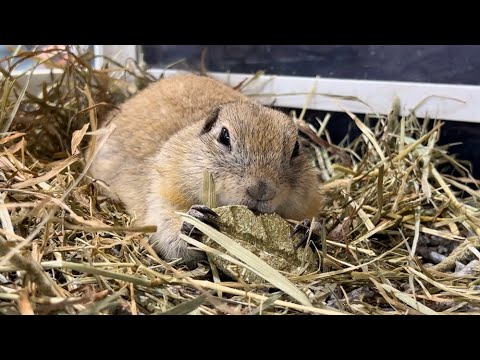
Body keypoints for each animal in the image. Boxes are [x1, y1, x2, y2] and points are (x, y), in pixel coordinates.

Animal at [90, 74, 322, 268]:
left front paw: (308, 231)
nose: (261, 190)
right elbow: (168, 233)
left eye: (296, 148)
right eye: (224, 136)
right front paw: (196, 220)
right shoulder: (160, 193)